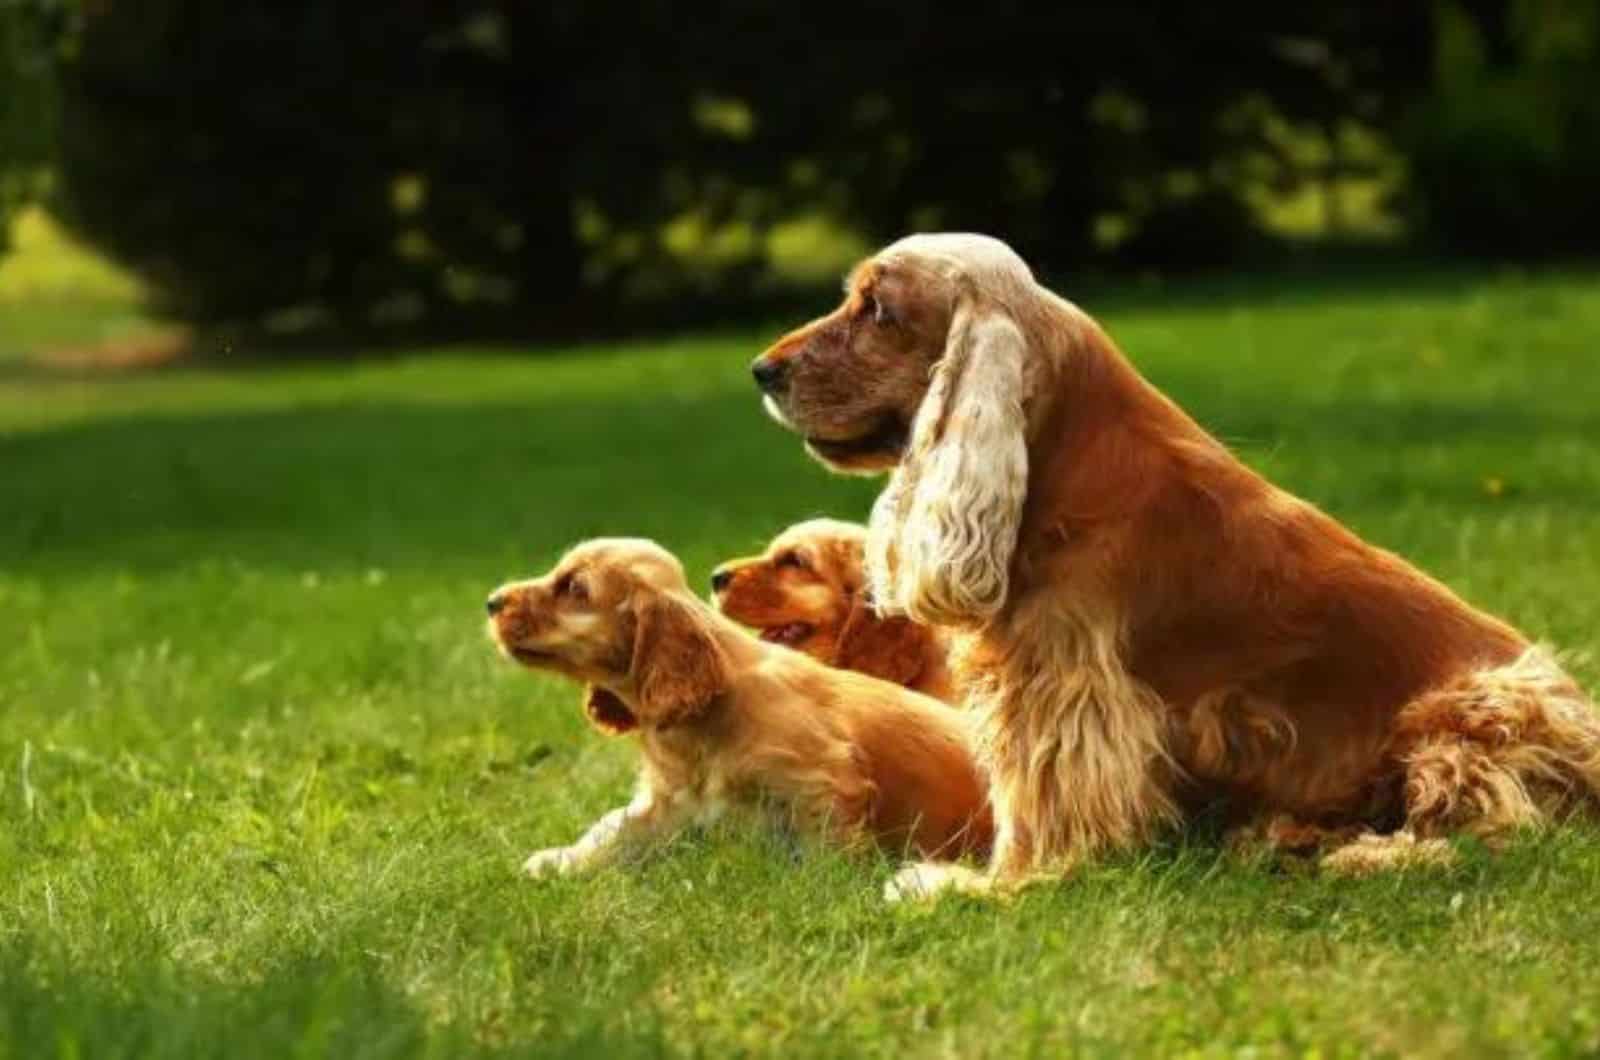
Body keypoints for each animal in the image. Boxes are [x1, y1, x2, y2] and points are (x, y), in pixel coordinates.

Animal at [480, 541, 992, 877]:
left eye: (574, 587)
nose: (490, 602)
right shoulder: (671, 801)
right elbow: (615, 831)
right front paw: (559, 861)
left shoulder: (823, 778)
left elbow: (826, 849)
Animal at [748, 232, 1600, 896]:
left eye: (876, 310)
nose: (762, 369)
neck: (1054, 463)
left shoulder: (1065, 689)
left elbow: (1038, 801)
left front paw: (994, 885)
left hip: (1476, 710)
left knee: (1499, 832)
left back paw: (1367, 857)